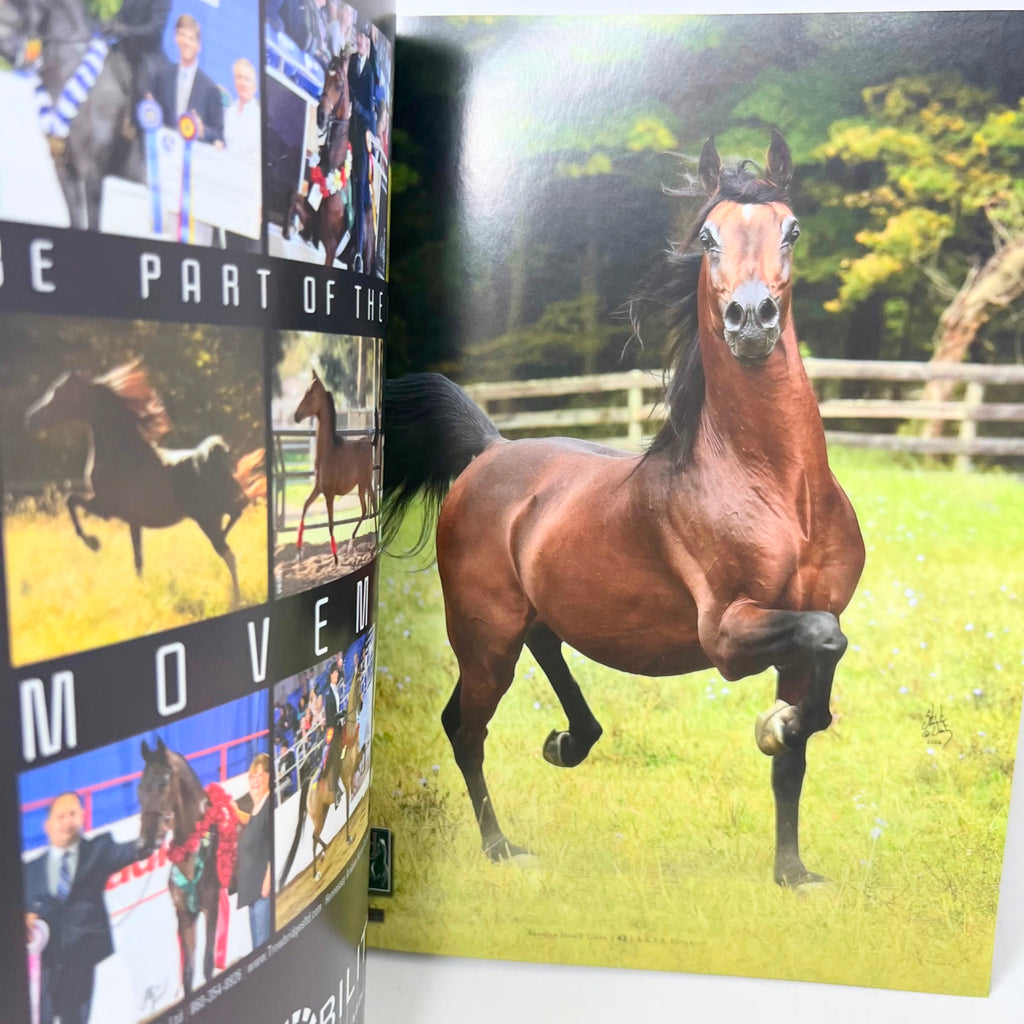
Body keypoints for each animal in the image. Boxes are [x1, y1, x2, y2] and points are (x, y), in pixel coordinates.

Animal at [25, 360, 265, 605]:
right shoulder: (132, 520)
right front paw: (141, 591)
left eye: (61, 393)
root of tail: (215, 461)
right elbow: (138, 560)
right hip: (215, 515)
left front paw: (94, 543)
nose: (30, 418)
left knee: (228, 549)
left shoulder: (106, 508)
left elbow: (70, 500)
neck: (126, 456)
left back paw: (236, 600)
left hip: (207, 520)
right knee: (235, 522)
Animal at [138, 737, 238, 997]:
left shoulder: (212, 907)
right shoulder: (185, 915)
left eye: (163, 783)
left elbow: (207, 964)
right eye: (139, 788)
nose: (144, 845)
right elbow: (188, 974)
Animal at [279, 656, 366, 885]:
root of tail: (309, 784)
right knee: (313, 836)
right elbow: (348, 805)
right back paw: (316, 873)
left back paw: (325, 851)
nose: (362, 704)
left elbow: (364, 750)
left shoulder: (356, 759)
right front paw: (348, 836)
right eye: (358, 687)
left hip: (323, 812)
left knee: (316, 836)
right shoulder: (345, 777)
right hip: (318, 815)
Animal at [293, 370, 377, 565]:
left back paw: (354, 545)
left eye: (310, 393)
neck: (328, 452)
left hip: (363, 484)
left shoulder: (329, 494)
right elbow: (304, 508)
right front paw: (299, 553)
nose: (296, 416)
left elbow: (331, 524)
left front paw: (336, 559)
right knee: (371, 505)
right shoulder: (318, 489)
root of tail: (369, 442)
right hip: (365, 484)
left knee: (367, 508)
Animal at [381, 133, 866, 890]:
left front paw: (793, 873)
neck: (780, 493)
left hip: (532, 618)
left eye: (791, 229)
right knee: (464, 727)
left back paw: (568, 742)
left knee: (541, 662)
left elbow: (800, 742)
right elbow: (818, 652)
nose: (750, 319)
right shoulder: (727, 635)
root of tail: (490, 451)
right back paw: (501, 848)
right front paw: (777, 725)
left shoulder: (808, 625)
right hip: (485, 637)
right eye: (707, 237)